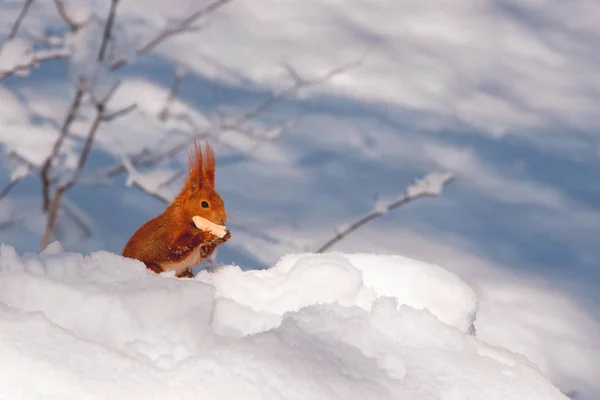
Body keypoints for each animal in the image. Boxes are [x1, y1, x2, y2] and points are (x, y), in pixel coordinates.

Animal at [121, 141, 230, 278]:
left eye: (222, 201)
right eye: (204, 204)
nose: (223, 218)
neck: (188, 218)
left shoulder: (199, 251)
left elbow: (203, 252)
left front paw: (225, 236)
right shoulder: (172, 232)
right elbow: (176, 249)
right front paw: (203, 236)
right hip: (153, 267)